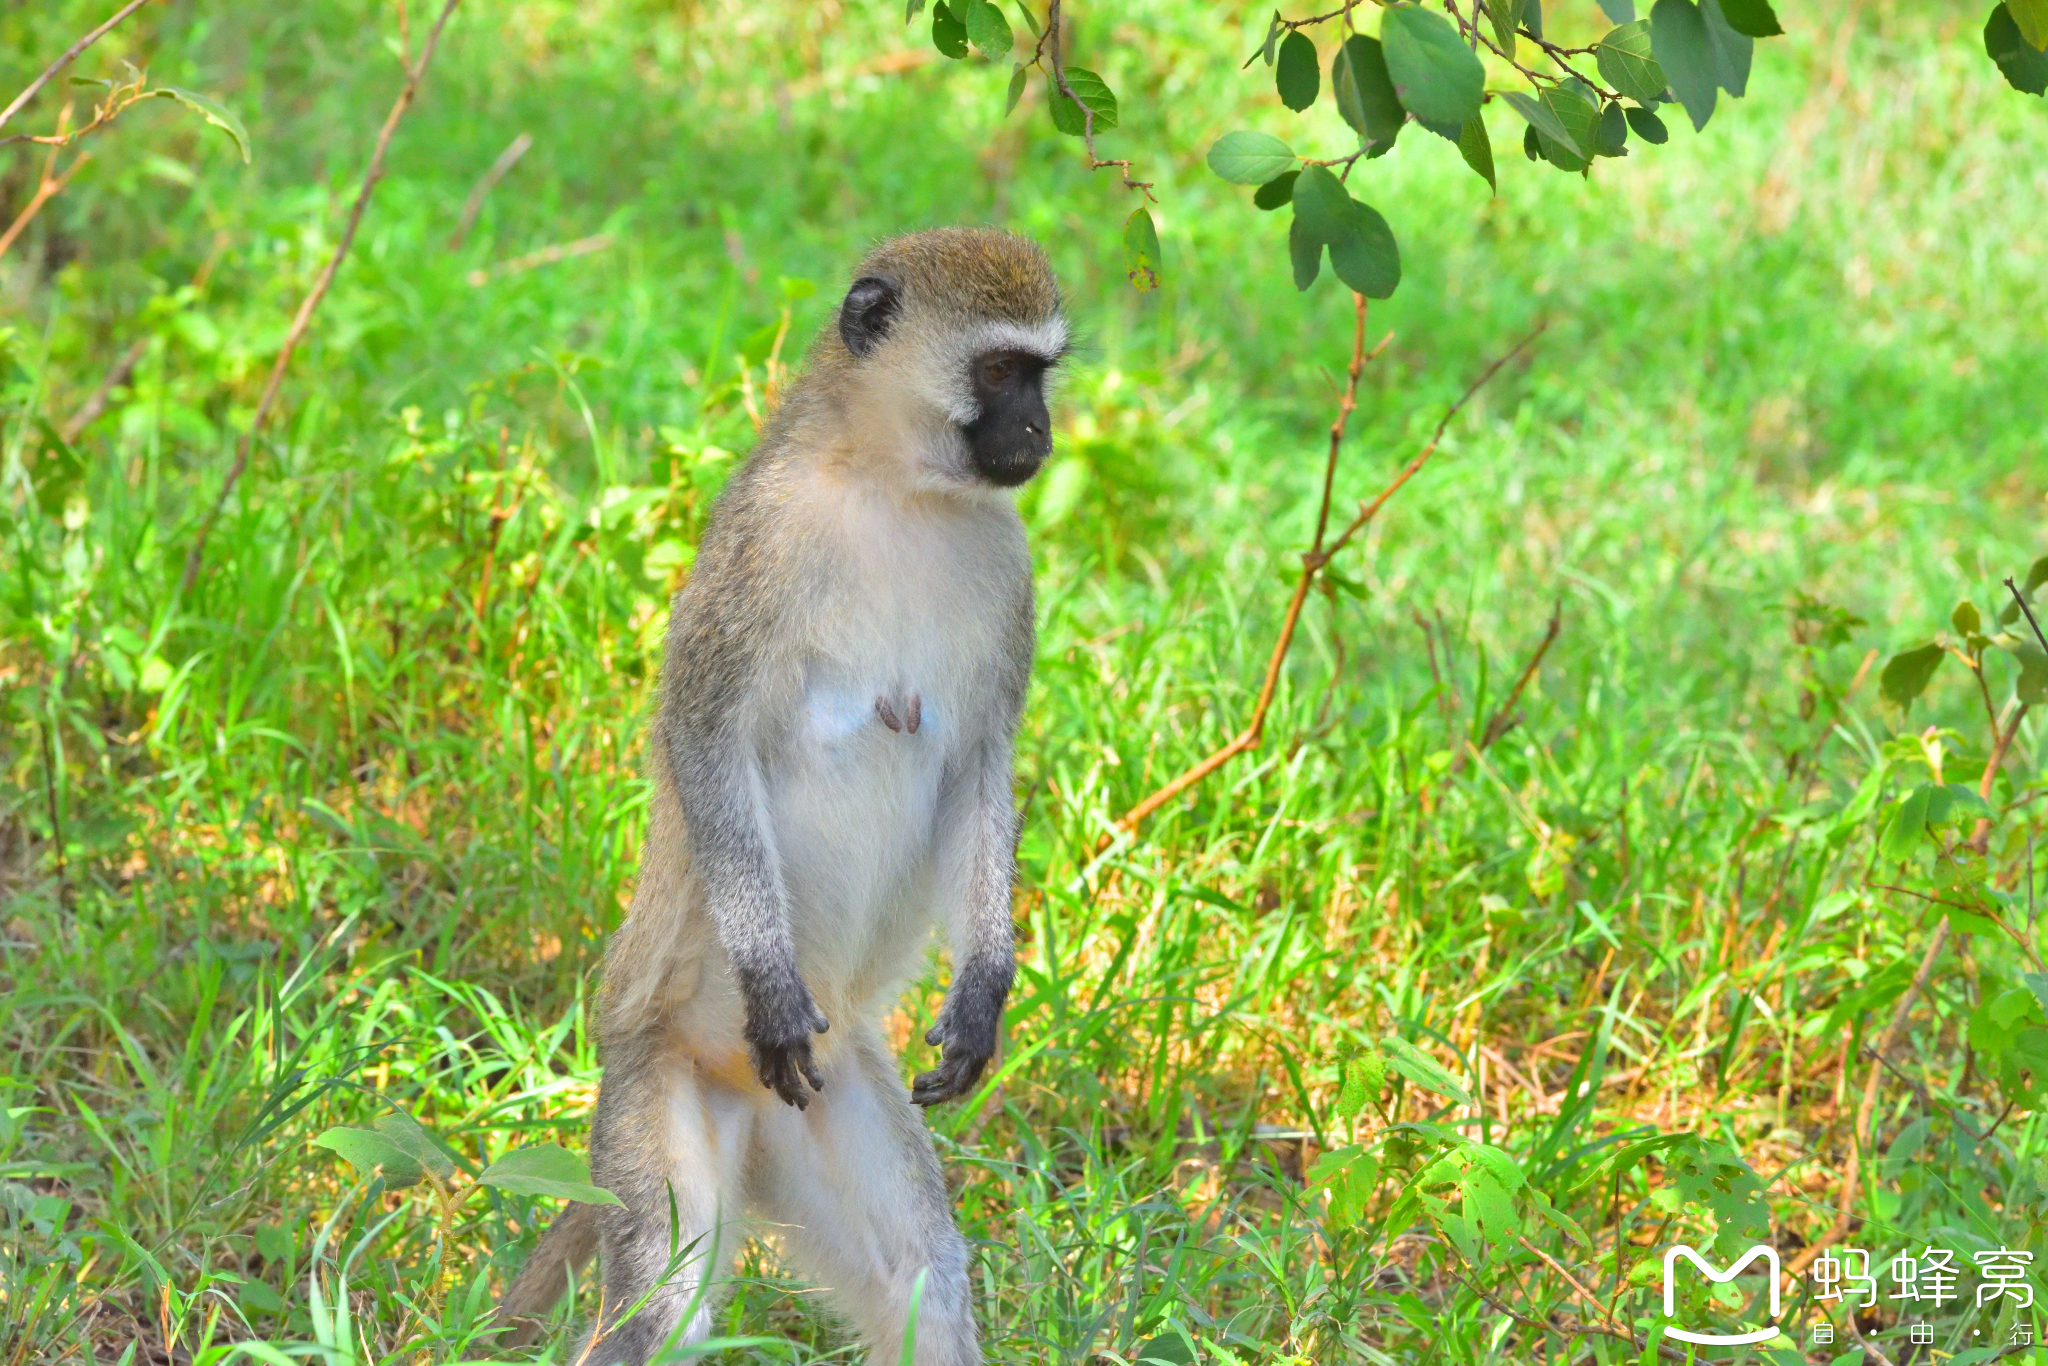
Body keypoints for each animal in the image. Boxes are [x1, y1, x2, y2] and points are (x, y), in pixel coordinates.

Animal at [493, 232, 1064, 1366]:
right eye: (996, 372)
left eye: (1041, 372)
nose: (1040, 430)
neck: (895, 487)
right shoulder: (760, 541)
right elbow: (704, 733)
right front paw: (768, 977)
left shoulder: (1007, 564)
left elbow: (980, 766)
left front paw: (983, 991)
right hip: (658, 1081)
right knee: (662, 1304)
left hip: (826, 1100)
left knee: (919, 1277)